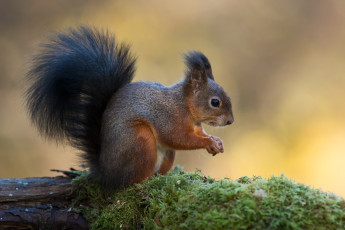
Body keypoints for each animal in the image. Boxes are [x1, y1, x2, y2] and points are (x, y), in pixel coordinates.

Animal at [25, 26, 232, 189]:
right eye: (215, 102)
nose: (230, 121)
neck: (185, 106)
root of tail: (106, 172)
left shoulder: (195, 126)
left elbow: (197, 134)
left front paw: (216, 142)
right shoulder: (168, 117)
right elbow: (178, 138)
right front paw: (209, 142)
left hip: (164, 154)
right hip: (140, 141)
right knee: (130, 181)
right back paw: (144, 183)